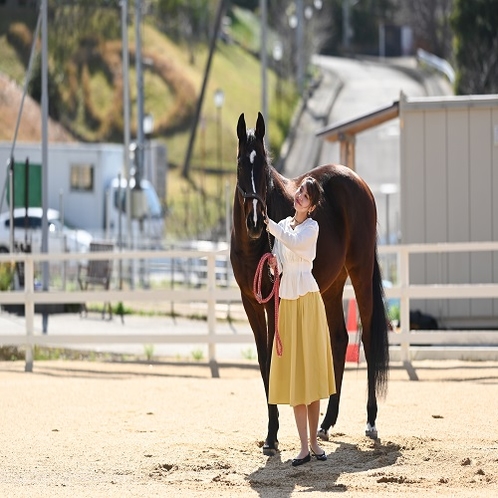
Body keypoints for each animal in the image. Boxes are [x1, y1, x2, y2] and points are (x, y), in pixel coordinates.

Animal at [231, 113, 392, 456]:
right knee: (340, 339)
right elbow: (264, 360)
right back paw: (327, 423)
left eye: (263, 165)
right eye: (240, 163)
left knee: (367, 340)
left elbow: (272, 359)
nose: (256, 222)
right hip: (332, 285)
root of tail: (358, 182)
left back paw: (371, 421)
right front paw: (271, 434)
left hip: (360, 272)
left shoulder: (272, 299)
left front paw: (273, 435)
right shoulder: (250, 301)